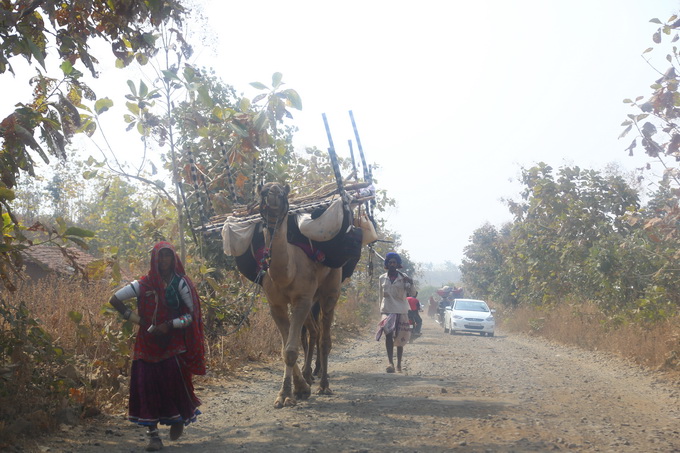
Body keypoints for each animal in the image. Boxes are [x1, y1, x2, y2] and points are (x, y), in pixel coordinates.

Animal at [258, 182, 342, 408]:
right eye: (262, 190)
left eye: (283, 191)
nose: (273, 192)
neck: (287, 272)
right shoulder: (275, 305)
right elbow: (285, 349)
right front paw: (298, 389)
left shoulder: (302, 299)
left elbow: (290, 350)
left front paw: (289, 393)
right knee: (314, 332)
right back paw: (310, 376)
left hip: (331, 289)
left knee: (324, 337)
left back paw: (324, 385)